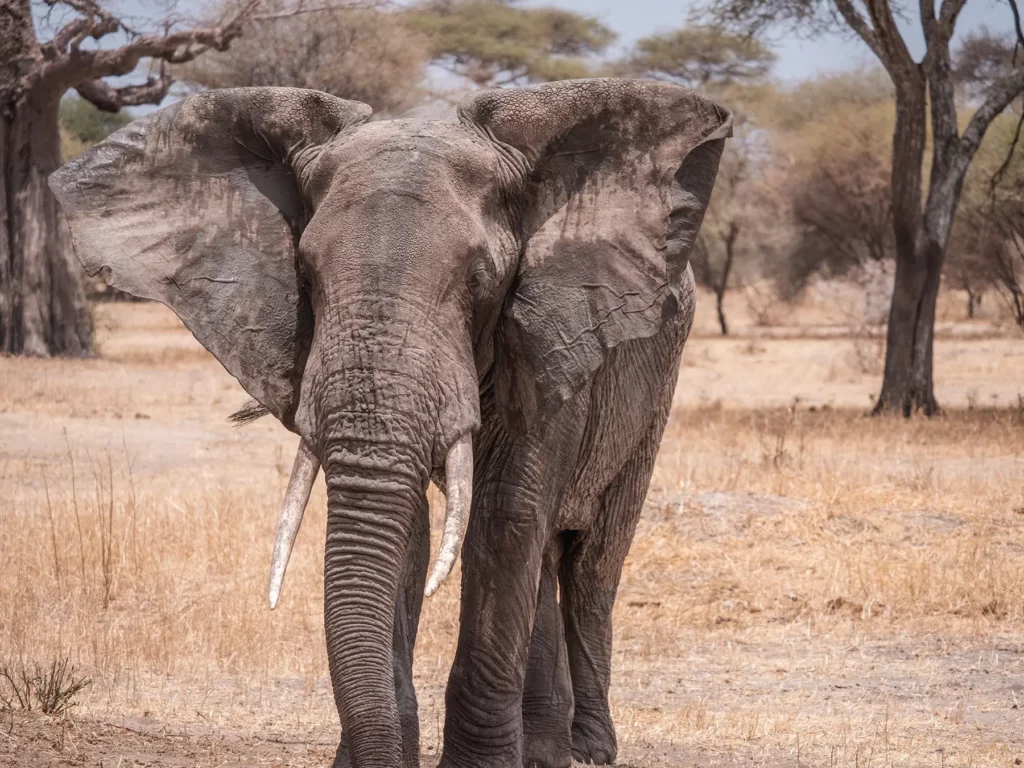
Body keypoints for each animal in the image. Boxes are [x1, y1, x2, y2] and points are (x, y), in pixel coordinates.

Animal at [49, 78, 732, 768]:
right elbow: (411, 526)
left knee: (591, 560)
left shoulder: (552, 333)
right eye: (305, 276)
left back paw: (588, 749)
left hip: (656, 386)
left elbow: (505, 512)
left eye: (481, 280)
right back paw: (544, 748)